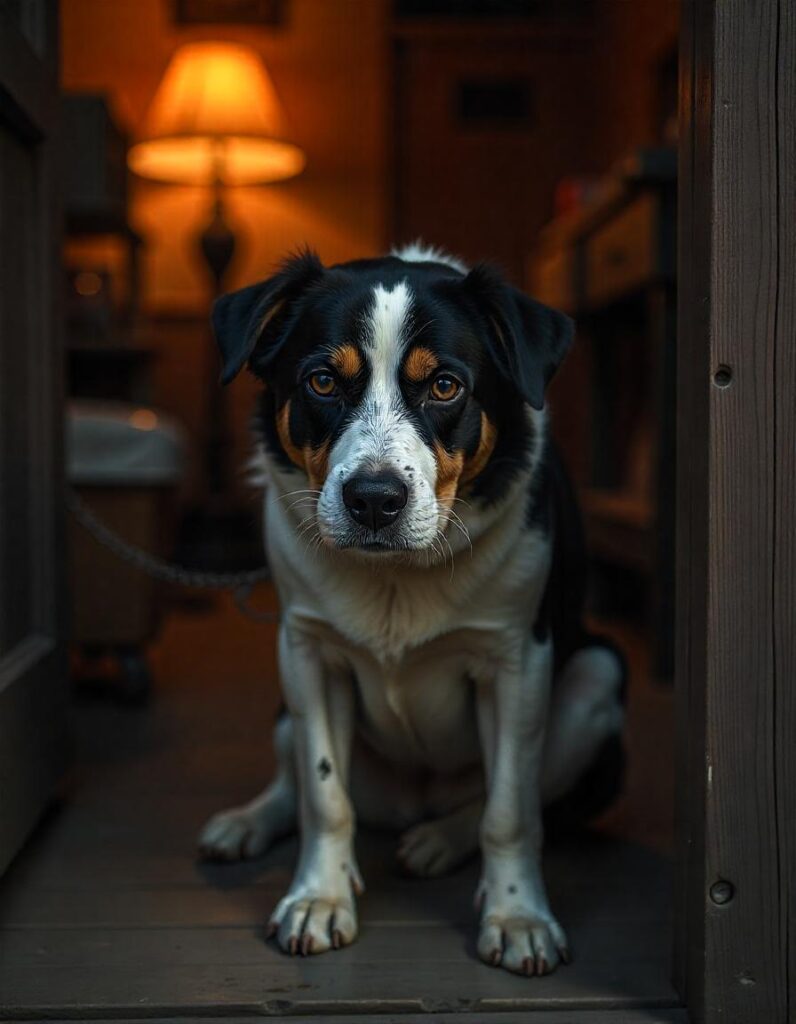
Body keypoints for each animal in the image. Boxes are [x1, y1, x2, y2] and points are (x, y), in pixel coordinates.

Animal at [196, 245, 622, 974]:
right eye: (322, 382)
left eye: (445, 387)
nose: (374, 499)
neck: (397, 575)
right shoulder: (306, 651)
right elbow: (323, 793)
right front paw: (318, 899)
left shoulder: (516, 661)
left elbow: (510, 808)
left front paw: (517, 916)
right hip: (287, 700)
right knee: (294, 782)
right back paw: (246, 823)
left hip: (597, 677)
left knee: (507, 797)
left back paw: (437, 842)